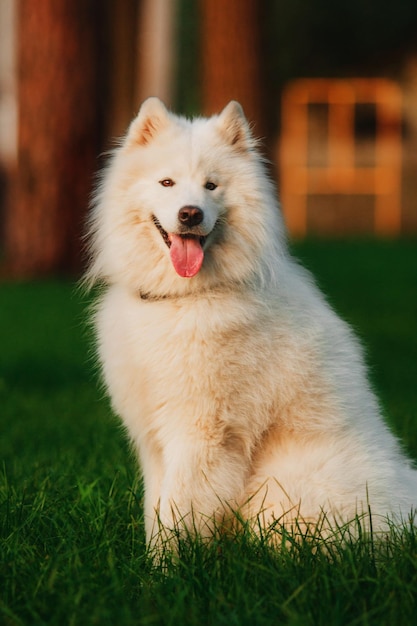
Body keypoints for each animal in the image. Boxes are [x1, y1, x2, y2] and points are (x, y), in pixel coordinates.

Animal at [85, 98, 416, 544]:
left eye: (211, 186)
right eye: (167, 182)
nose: (190, 214)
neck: (186, 298)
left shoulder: (201, 432)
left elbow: (177, 511)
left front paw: (171, 562)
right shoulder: (154, 439)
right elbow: (156, 508)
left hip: (278, 490)